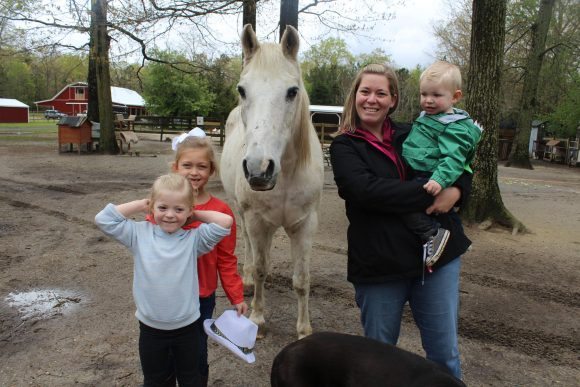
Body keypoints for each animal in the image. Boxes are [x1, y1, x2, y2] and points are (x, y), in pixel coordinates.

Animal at [220, 24, 324, 340]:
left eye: (292, 91)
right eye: (242, 90)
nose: (258, 169)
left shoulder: (304, 225)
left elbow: (301, 279)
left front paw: (304, 330)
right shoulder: (256, 220)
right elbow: (262, 269)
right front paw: (258, 319)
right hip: (243, 213)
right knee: (248, 246)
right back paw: (246, 279)